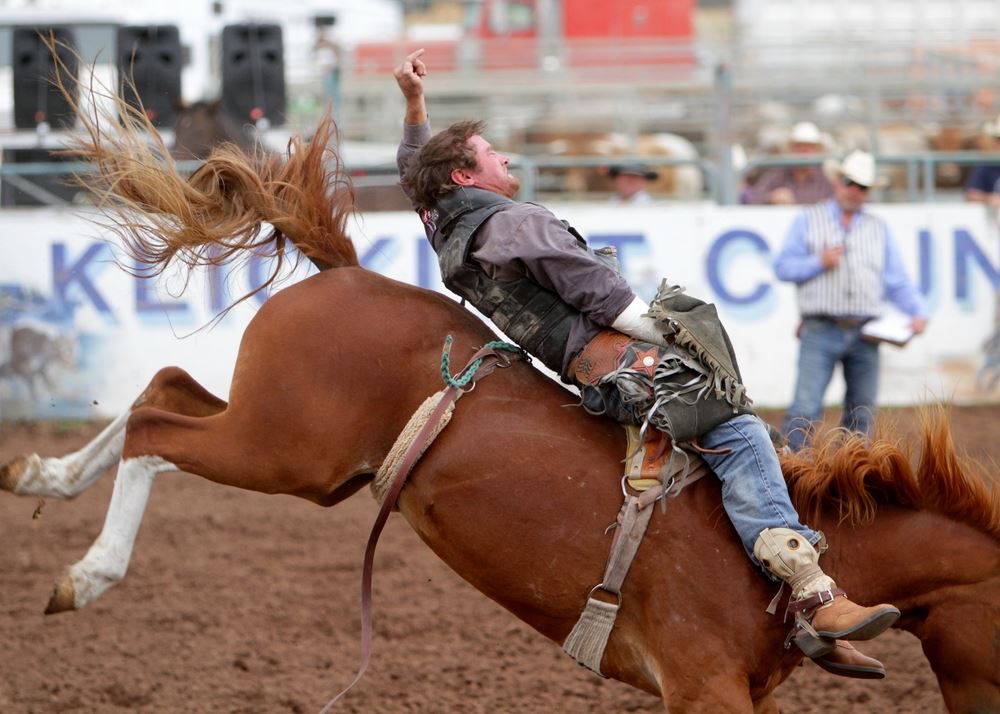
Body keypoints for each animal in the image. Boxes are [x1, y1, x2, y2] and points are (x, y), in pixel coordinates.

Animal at [1, 73, 998, 713]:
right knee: (151, 426)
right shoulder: (703, 685)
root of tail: (342, 269)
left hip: (287, 443)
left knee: (158, 390)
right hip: (280, 450)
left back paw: (40, 476)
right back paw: (86, 574)